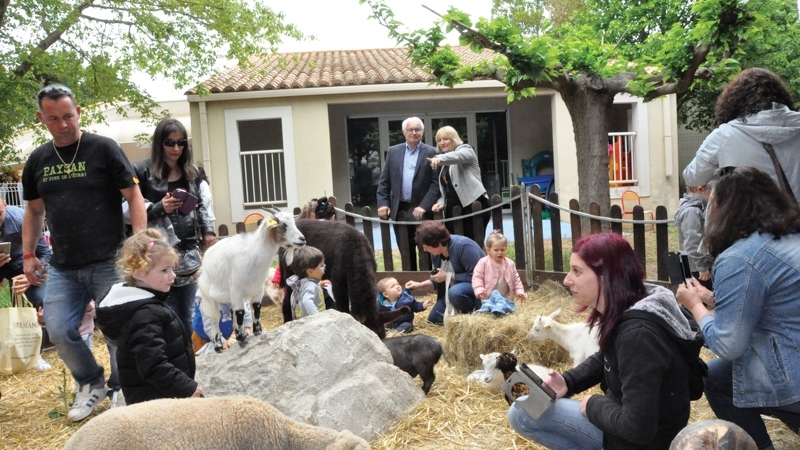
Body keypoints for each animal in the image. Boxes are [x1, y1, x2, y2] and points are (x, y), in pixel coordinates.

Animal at [199, 207, 306, 352]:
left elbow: (256, 307)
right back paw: (218, 346)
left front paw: (257, 332)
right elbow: (240, 312)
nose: (302, 239)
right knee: (214, 318)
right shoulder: (237, 290)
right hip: (208, 297)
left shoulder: (258, 288)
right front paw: (242, 340)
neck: (253, 254)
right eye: (283, 225)